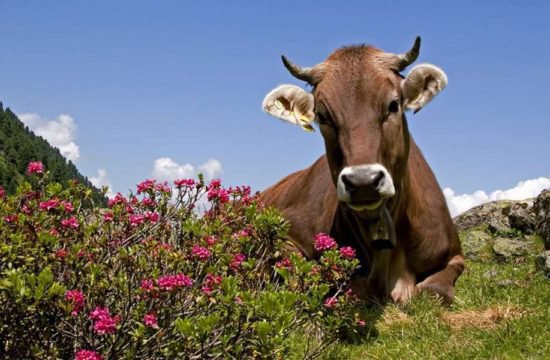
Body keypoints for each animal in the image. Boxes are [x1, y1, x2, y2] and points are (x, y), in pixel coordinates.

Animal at [260, 38, 464, 304]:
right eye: (322, 116)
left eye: (394, 105)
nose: (363, 181)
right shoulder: (286, 235)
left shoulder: (455, 255)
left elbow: (435, 290)